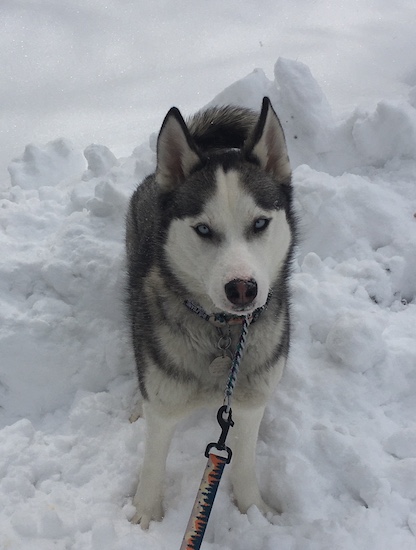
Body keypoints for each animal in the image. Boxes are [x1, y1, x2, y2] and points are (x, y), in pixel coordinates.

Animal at [126, 98, 296, 532]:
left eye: (260, 223)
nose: (242, 288)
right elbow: (152, 465)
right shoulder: (164, 404)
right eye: (203, 229)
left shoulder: (250, 403)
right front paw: (144, 518)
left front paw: (255, 512)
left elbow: (245, 466)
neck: (221, 333)